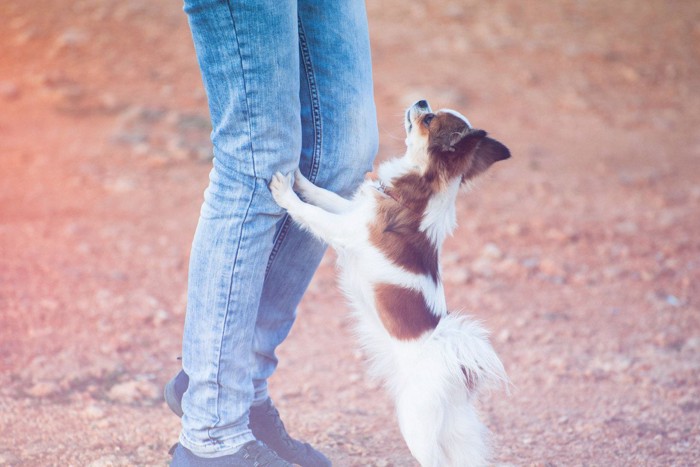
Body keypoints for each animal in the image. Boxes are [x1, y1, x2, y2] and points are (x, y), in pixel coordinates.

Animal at [270, 101, 512, 467]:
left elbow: (312, 214)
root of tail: (454, 365)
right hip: (453, 429)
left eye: (428, 120)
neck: (416, 195)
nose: (421, 101)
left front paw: (286, 193)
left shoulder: (345, 230)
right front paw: (300, 177)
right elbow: (324, 195)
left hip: (415, 424)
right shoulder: (352, 210)